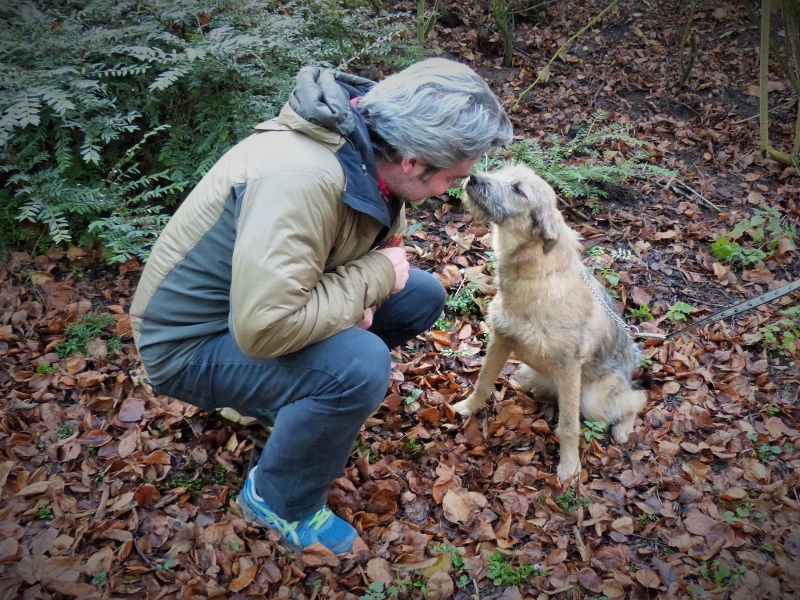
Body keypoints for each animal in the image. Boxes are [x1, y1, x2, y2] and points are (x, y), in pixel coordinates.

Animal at [454, 164, 648, 482]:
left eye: (518, 190)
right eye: (503, 171)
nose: (473, 177)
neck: (532, 277)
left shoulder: (569, 367)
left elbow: (568, 427)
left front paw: (570, 468)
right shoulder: (500, 339)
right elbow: (483, 382)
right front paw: (467, 408)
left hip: (593, 399)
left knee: (637, 398)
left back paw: (623, 428)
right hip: (528, 372)